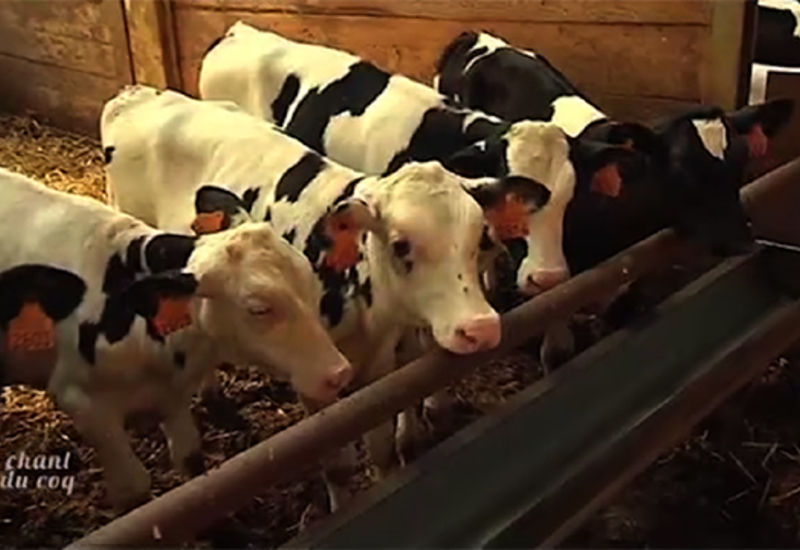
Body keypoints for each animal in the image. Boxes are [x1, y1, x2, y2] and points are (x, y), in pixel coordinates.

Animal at [0, 168, 354, 512]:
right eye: (259, 309)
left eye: (309, 283)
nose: (339, 373)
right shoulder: (84, 404)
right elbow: (134, 493)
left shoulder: (174, 396)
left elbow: (192, 468)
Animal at [100, 85, 516, 512]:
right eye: (401, 244)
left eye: (479, 238)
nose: (481, 328)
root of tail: (136, 93)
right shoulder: (311, 372)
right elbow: (336, 464)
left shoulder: (380, 368)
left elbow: (382, 447)